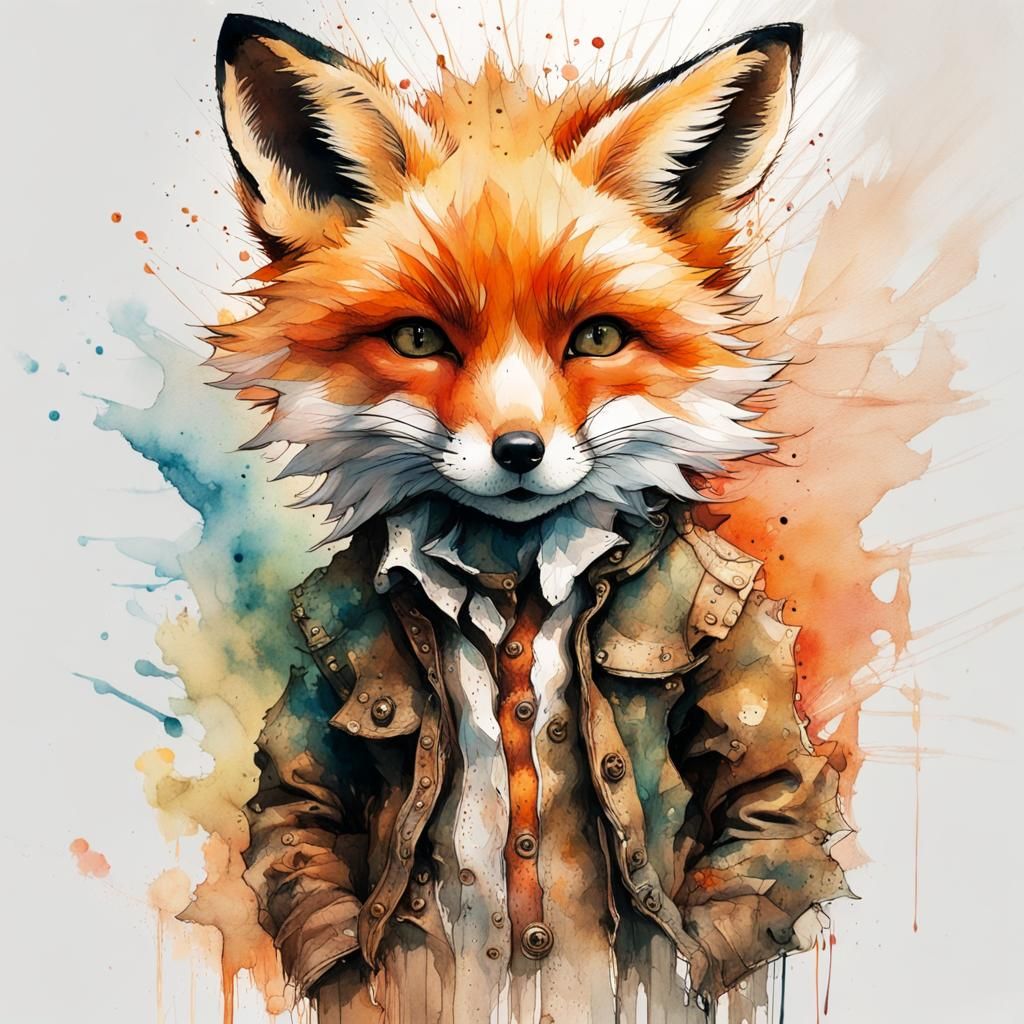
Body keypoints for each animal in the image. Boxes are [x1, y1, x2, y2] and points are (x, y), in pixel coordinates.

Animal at [211, 13, 847, 1024]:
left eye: (597, 337)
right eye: (419, 338)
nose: (519, 451)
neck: (510, 565)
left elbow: (765, 794)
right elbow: (301, 799)